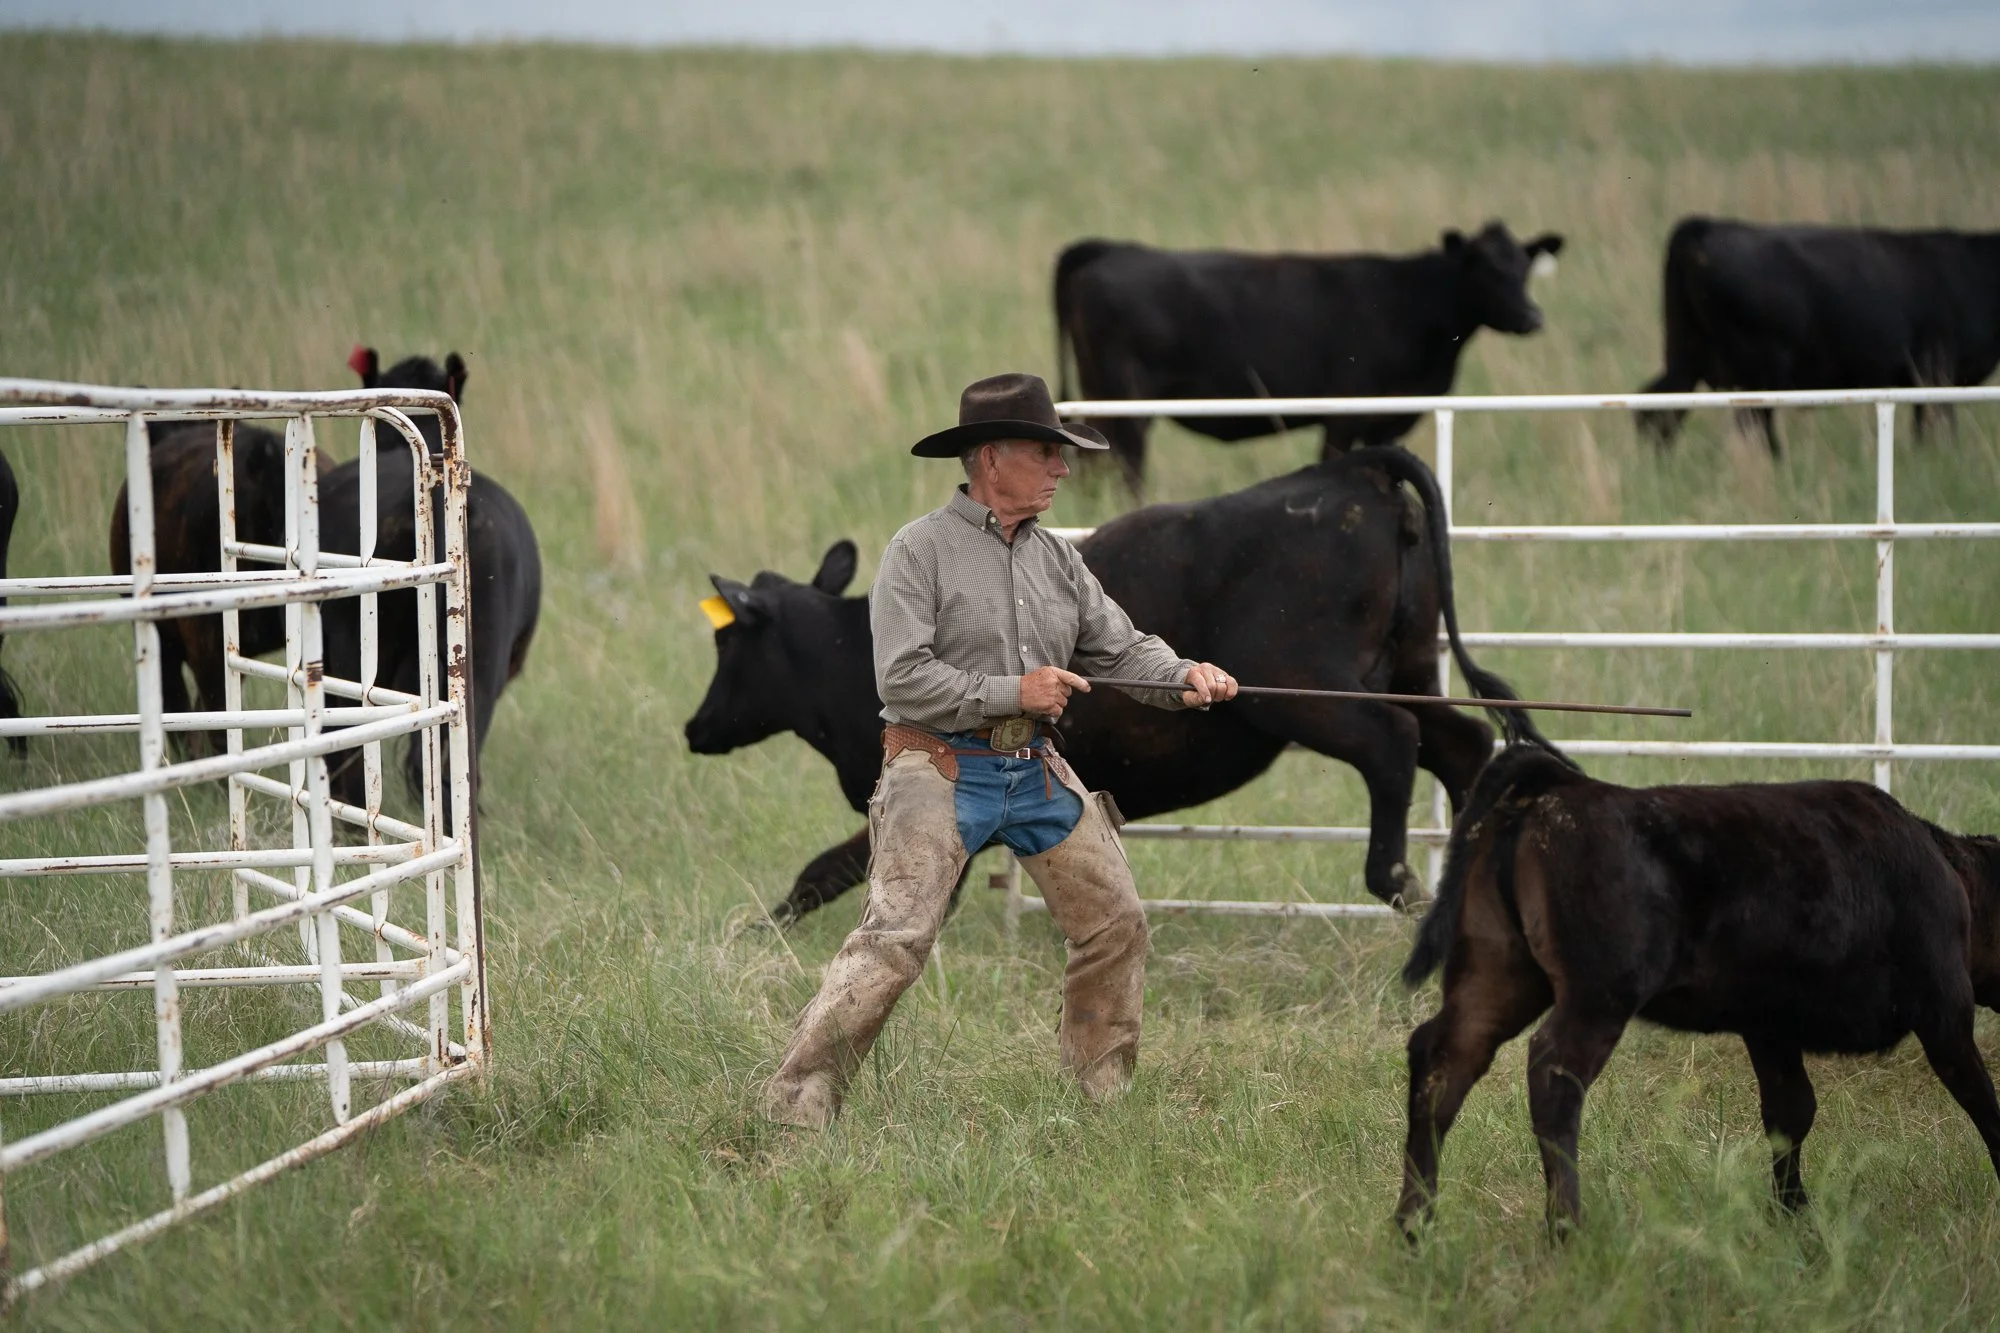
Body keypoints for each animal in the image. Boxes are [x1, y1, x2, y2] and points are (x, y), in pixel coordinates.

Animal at [686, 445, 1560, 923]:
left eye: (727, 644)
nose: (695, 728)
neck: (847, 651)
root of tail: (1352, 475)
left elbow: (824, 872)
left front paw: (755, 930)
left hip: (1302, 689)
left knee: (1393, 745)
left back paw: (1398, 880)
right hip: (1410, 666)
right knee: (1462, 741)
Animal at [1054, 222, 1565, 488]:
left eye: (1524, 268)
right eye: (1485, 268)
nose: (1533, 317)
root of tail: (1111, 248)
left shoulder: (1387, 420)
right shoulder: (1344, 415)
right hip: (1126, 404)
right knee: (1124, 471)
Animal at [1395, 742, 2000, 1240]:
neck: (1954, 875)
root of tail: (1561, 791)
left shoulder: (1770, 1026)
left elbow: (1791, 1112)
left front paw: (1793, 1218)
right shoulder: (1944, 1009)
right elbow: (1981, 1097)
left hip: (1500, 972)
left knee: (1446, 1056)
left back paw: (1415, 1226)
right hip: (1598, 993)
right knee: (1552, 1071)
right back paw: (1566, 1230)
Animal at [1635, 217, 2000, 454]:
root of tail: (1706, 226)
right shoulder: (1936, 371)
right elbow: (1938, 429)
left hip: (1686, 356)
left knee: (1656, 410)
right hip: (1759, 372)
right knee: (1755, 430)